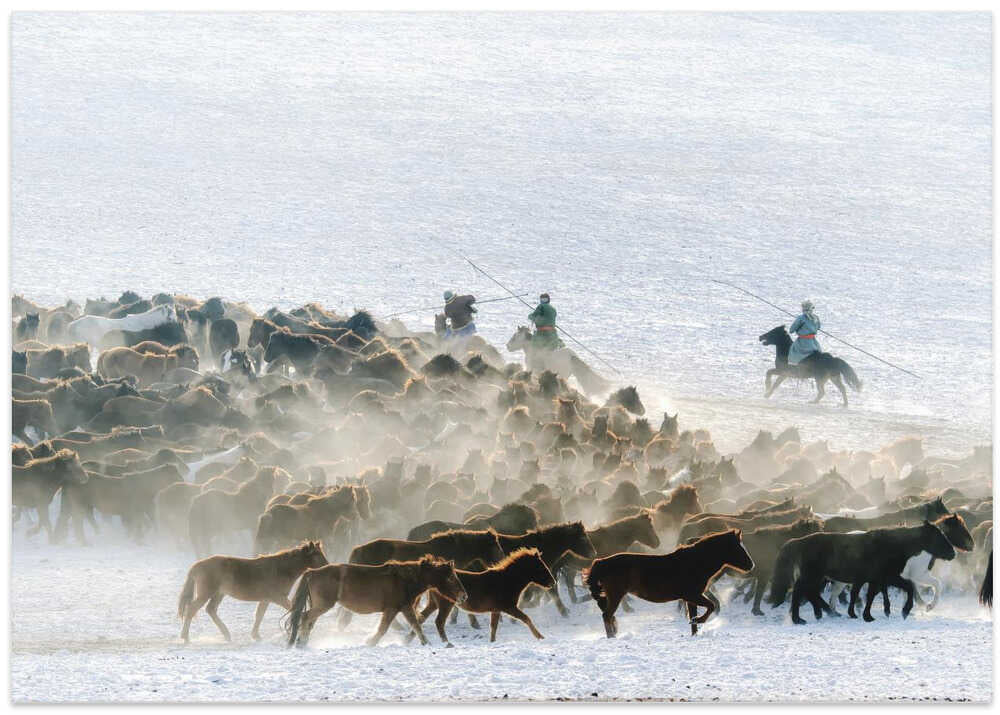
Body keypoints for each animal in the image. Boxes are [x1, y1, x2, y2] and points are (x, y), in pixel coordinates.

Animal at [177, 541, 328, 643]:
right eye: (317, 555)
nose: (328, 566)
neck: (281, 569)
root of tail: (198, 565)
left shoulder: (266, 599)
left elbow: (259, 615)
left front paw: (256, 636)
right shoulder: (278, 598)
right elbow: (296, 610)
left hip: (219, 594)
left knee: (210, 610)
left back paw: (226, 634)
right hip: (206, 593)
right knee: (191, 610)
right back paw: (186, 637)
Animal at [285, 556, 468, 647]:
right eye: (451, 577)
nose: (464, 595)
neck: (404, 579)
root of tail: (312, 572)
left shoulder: (403, 608)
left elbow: (415, 624)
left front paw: (425, 642)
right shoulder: (394, 608)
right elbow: (385, 628)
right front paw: (371, 641)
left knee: (309, 620)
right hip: (323, 605)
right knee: (306, 617)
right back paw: (301, 642)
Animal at [584, 529, 754, 637]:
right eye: (738, 548)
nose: (751, 565)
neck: (696, 562)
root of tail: (601, 562)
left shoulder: (690, 598)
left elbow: (694, 616)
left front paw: (694, 631)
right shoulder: (692, 595)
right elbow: (711, 606)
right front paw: (698, 620)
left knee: (609, 616)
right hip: (616, 595)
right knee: (607, 615)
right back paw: (612, 637)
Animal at [769, 521, 957, 623]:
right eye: (939, 535)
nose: (953, 553)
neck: (892, 546)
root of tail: (799, 541)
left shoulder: (878, 579)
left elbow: (872, 595)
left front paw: (867, 615)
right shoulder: (889, 577)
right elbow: (907, 588)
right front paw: (904, 611)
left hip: (817, 577)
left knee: (810, 593)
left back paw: (825, 613)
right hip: (813, 576)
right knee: (800, 592)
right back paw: (799, 619)